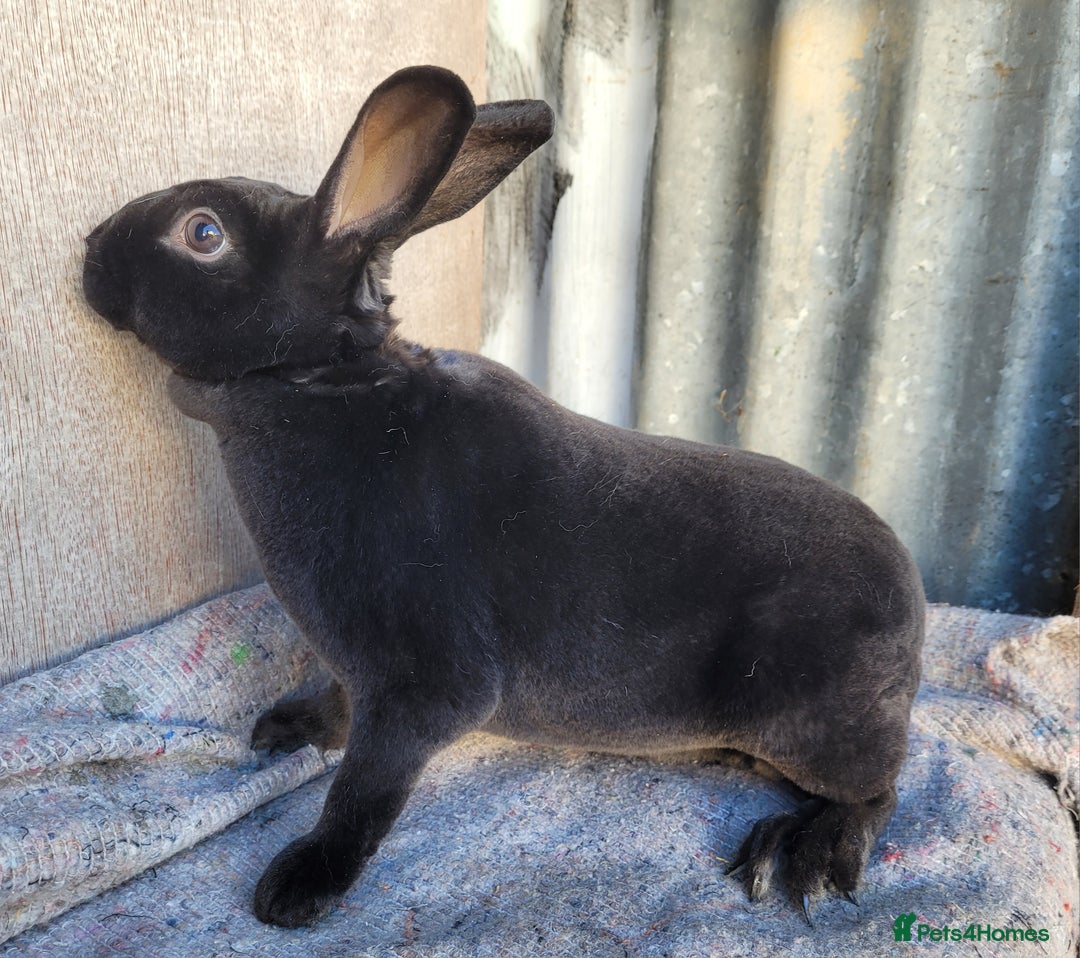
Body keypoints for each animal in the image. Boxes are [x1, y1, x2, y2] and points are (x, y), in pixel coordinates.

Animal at [82, 65, 925, 929]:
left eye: (202, 233)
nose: (91, 245)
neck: (323, 384)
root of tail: (912, 604)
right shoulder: (359, 669)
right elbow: (339, 709)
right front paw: (285, 728)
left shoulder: (424, 686)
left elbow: (364, 789)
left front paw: (300, 884)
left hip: (816, 725)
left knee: (879, 793)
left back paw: (803, 856)